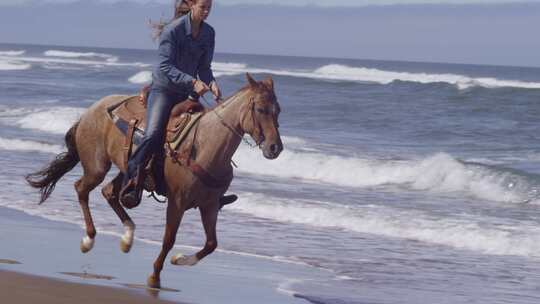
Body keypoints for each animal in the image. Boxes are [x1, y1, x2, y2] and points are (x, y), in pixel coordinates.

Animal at [26, 73, 282, 288]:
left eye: (278, 110)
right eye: (260, 109)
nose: (275, 148)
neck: (205, 145)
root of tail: (91, 110)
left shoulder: (209, 205)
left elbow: (211, 243)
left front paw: (179, 259)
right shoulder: (177, 202)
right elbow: (169, 239)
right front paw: (155, 276)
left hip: (127, 171)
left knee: (110, 192)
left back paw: (127, 237)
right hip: (97, 167)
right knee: (81, 189)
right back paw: (89, 239)